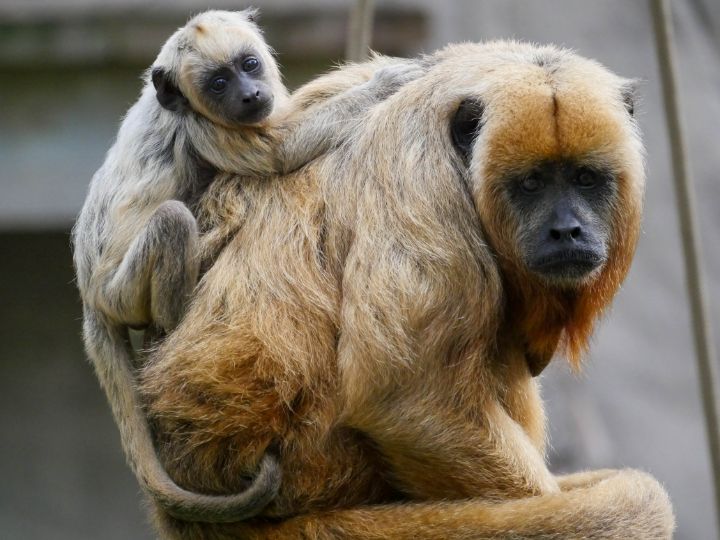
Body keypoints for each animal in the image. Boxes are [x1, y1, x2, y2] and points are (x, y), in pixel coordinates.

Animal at [71, 9, 421, 524]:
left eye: (249, 65)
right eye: (219, 83)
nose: (250, 93)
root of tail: (89, 294)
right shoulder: (202, 130)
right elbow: (280, 153)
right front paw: (389, 81)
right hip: (120, 291)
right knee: (173, 221)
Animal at [139, 41, 674, 538]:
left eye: (586, 179)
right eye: (531, 184)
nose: (567, 230)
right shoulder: (420, 176)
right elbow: (404, 399)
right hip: (313, 462)